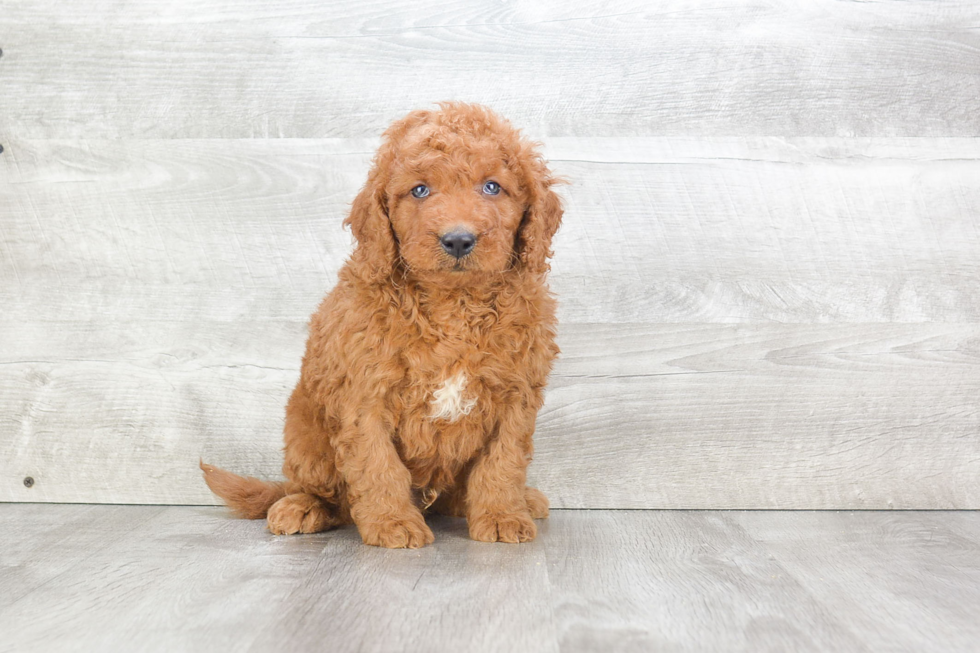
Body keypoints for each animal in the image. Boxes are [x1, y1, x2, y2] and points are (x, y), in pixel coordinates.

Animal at [203, 103, 564, 552]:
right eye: (420, 191)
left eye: (493, 187)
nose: (458, 240)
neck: (454, 305)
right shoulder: (364, 396)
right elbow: (377, 464)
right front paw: (393, 522)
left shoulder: (516, 395)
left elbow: (503, 461)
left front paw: (501, 515)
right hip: (306, 435)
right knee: (323, 491)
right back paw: (302, 506)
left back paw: (520, 500)